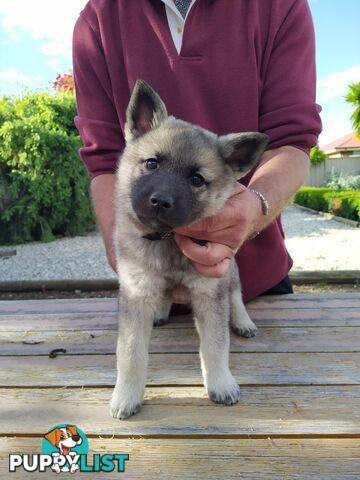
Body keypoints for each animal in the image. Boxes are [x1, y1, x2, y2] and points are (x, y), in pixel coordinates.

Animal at [109, 80, 268, 418]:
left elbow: (215, 345)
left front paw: (220, 383)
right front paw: (126, 394)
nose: (160, 201)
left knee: (236, 296)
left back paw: (243, 321)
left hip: (230, 271)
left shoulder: (210, 291)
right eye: (152, 163)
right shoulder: (136, 292)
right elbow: (130, 353)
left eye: (197, 179)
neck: (166, 238)